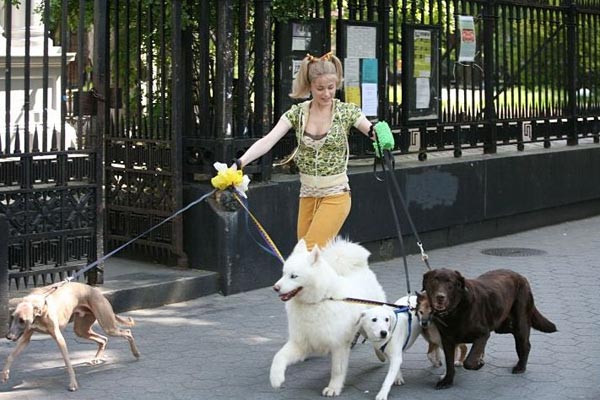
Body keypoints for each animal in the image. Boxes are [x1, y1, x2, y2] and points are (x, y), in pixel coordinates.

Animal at [1, 282, 139, 390]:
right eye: (12, 317)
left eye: (22, 320)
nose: (8, 337)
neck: (41, 307)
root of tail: (97, 292)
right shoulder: (25, 338)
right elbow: (10, 356)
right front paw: (4, 374)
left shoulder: (59, 338)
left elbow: (68, 363)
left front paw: (73, 383)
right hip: (81, 330)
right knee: (103, 339)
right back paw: (96, 358)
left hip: (108, 326)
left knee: (127, 332)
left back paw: (136, 353)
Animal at [270, 238, 386, 396]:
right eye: (283, 273)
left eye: (293, 276)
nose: (275, 288)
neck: (317, 301)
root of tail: (362, 269)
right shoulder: (301, 343)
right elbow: (278, 356)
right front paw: (276, 378)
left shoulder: (338, 345)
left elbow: (337, 370)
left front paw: (333, 388)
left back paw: (381, 355)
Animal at [422, 268, 556, 390]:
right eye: (434, 280)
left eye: (450, 282)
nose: (440, 297)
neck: (455, 310)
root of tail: (521, 277)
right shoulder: (447, 340)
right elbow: (449, 363)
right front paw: (447, 381)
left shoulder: (483, 334)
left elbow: (469, 361)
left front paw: (478, 363)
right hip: (501, 325)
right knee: (513, 333)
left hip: (520, 321)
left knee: (525, 344)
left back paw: (521, 366)